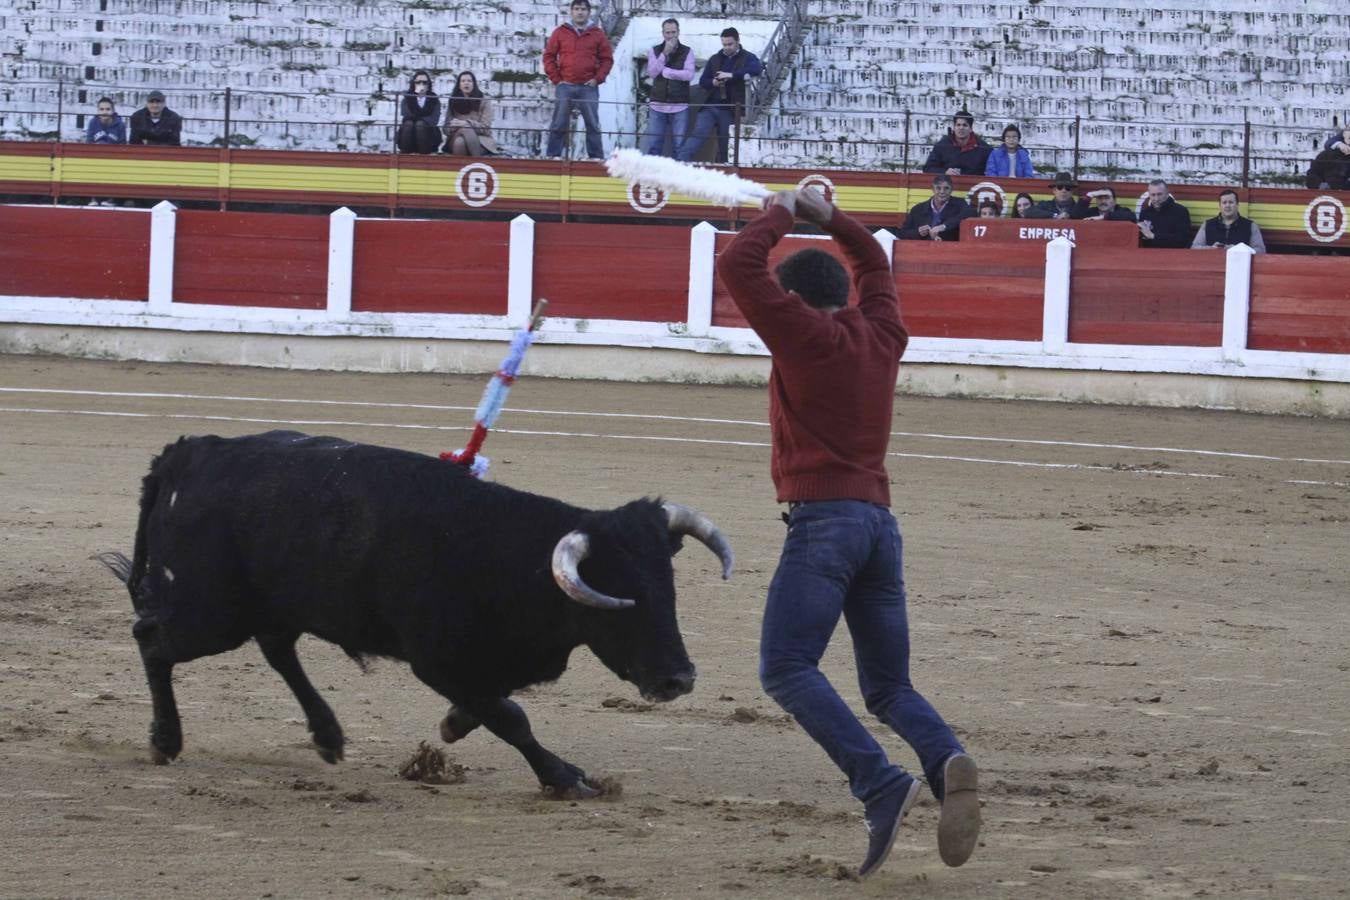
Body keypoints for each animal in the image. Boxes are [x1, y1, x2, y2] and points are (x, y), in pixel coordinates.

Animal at [98, 431, 734, 798]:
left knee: (276, 649)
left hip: (272, 602)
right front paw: (564, 778)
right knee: (153, 640)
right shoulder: (436, 660)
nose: (679, 679)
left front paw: (454, 725)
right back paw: (165, 740)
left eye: (668, 589)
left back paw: (328, 736)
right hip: (209, 613)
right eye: (620, 599)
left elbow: (492, 703)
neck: (500, 553)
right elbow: (511, 718)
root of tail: (186, 454)